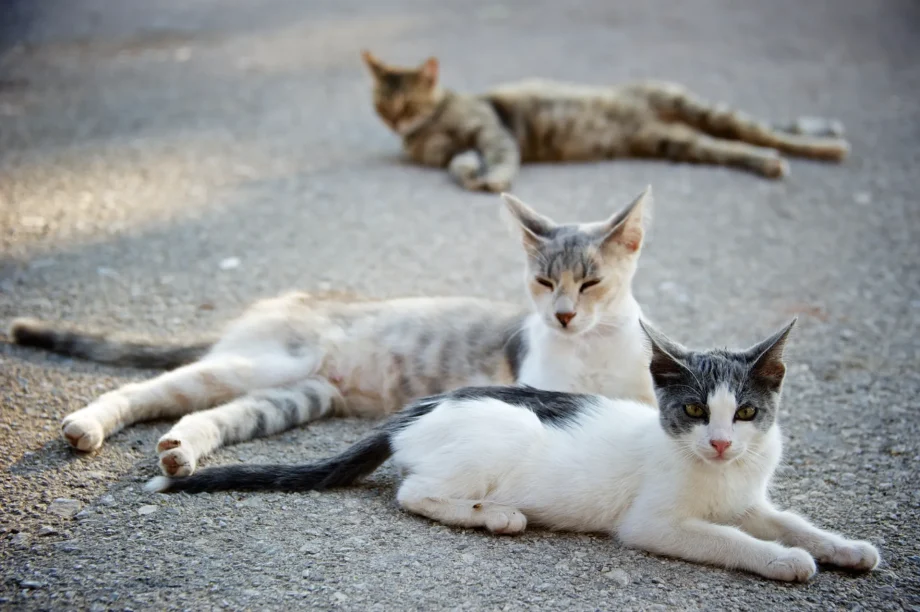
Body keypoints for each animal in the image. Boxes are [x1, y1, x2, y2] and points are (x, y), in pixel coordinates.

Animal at [7, 188, 656, 478]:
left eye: (590, 283)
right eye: (544, 283)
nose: (563, 316)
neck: (593, 346)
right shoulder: (535, 382)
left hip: (295, 397)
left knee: (205, 416)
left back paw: (179, 452)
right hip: (264, 363)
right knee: (145, 390)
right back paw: (88, 425)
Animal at [147, 320, 880, 584]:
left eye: (747, 413)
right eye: (695, 411)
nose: (723, 442)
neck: (718, 477)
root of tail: (417, 412)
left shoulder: (750, 496)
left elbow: (789, 521)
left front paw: (841, 546)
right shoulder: (656, 524)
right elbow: (732, 539)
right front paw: (783, 561)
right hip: (504, 439)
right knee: (414, 492)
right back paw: (495, 515)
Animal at [360, 50, 848, 191]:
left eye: (409, 103)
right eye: (384, 105)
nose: (397, 122)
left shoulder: (492, 130)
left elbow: (499, 157)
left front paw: (491, 179)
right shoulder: (457, 148)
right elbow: (460, 162)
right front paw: (469, 173)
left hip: (700, 109)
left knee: (765, 131)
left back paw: (828, 146)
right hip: (682, 142)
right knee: (737, 146)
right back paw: (769, 162)